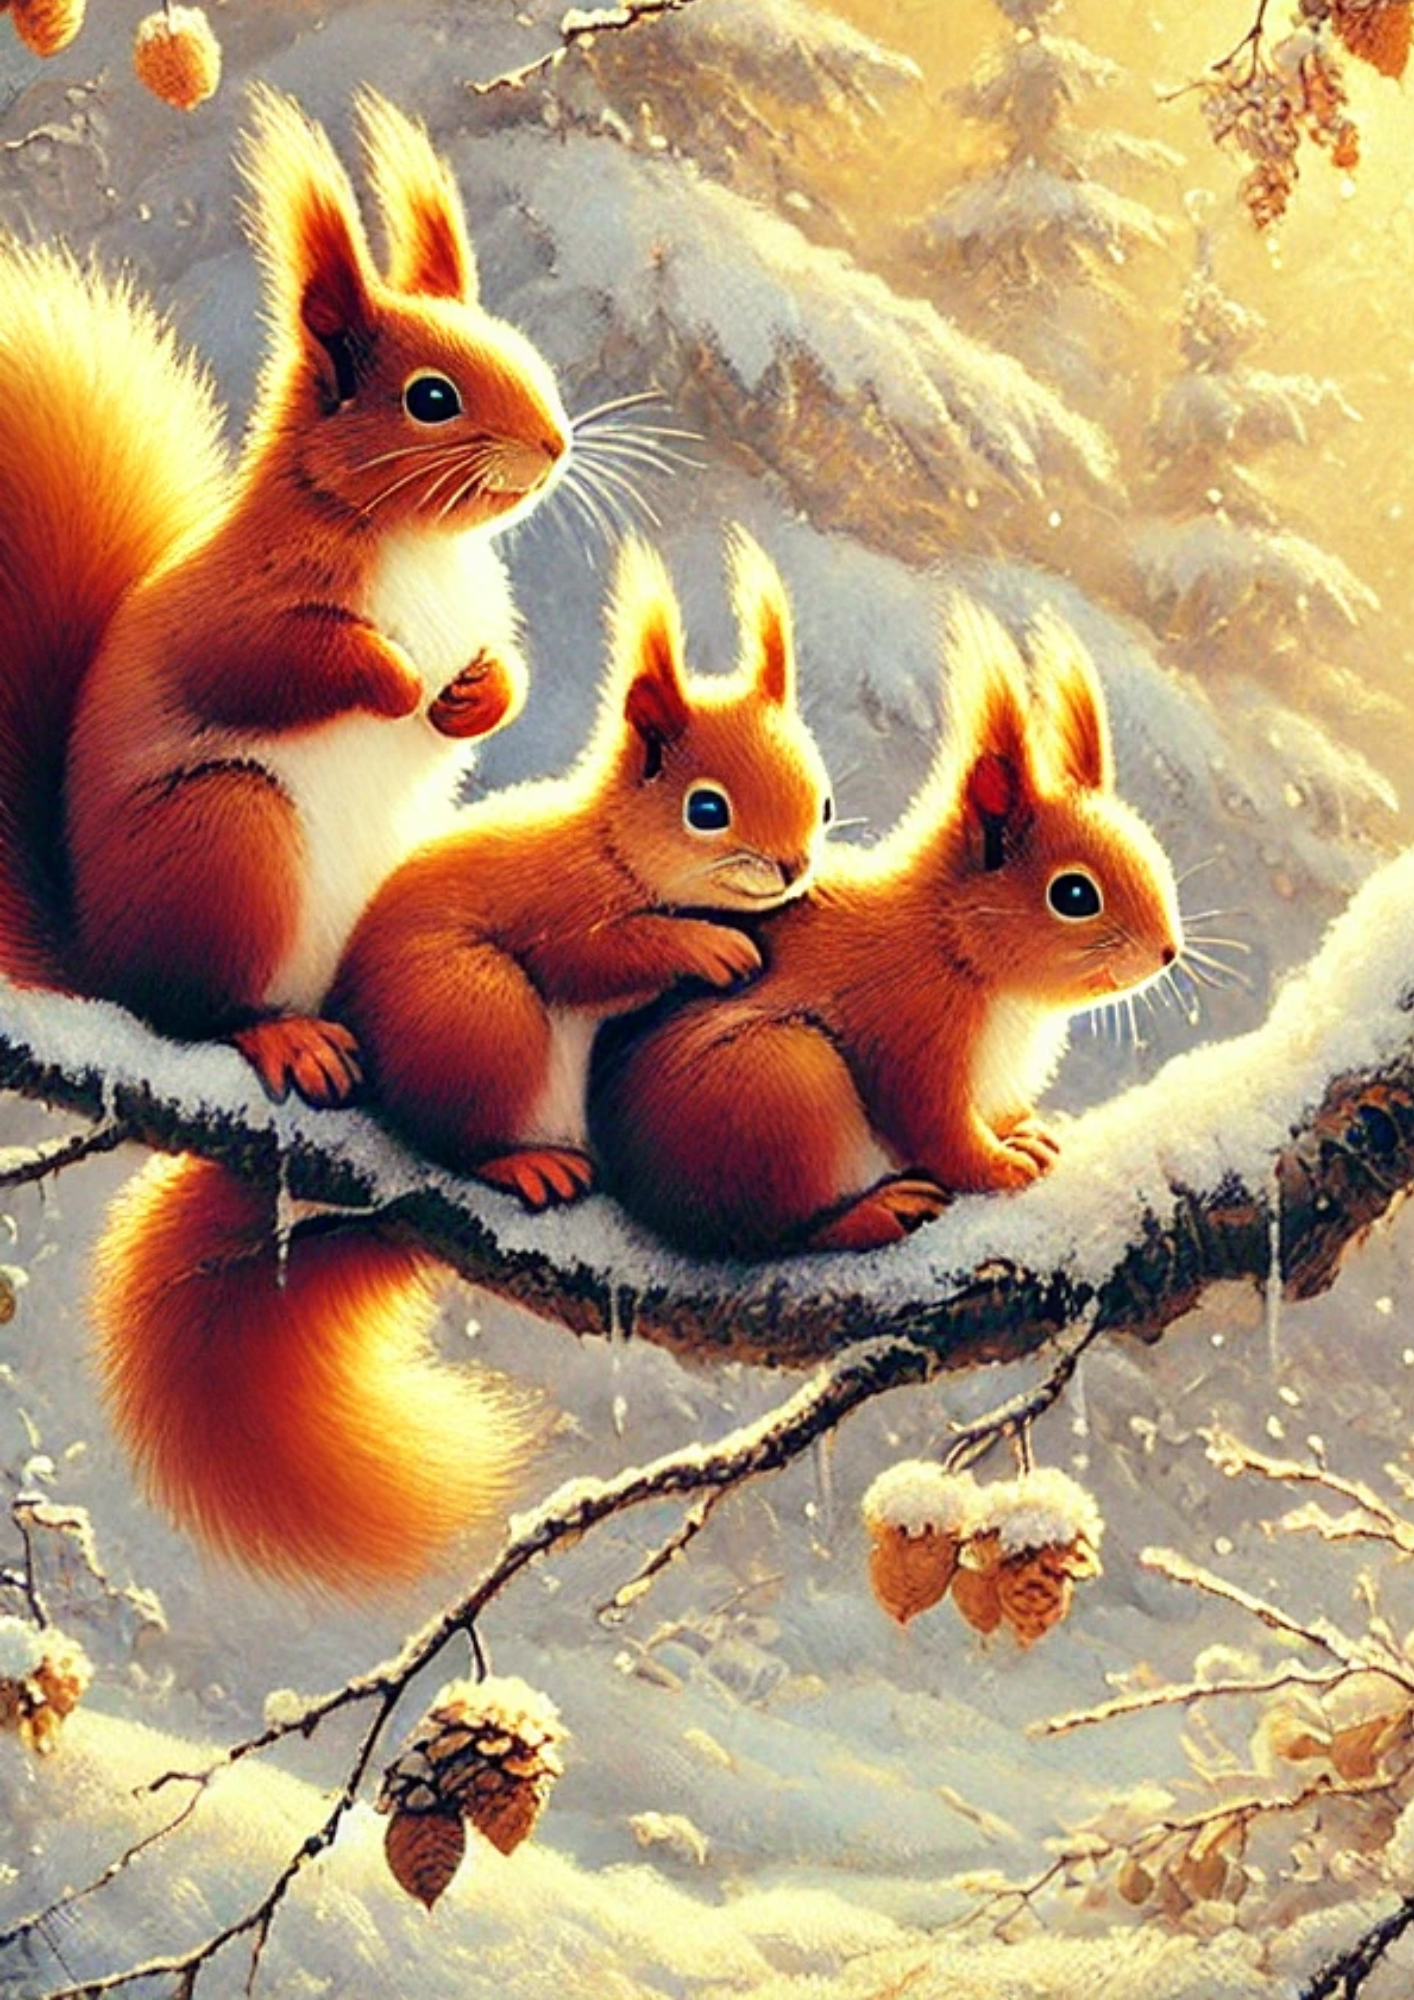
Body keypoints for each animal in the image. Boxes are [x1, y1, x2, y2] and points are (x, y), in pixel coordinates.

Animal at [0, 86, 569, 1106]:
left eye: (522, 351)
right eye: (432, 398)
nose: (554, 443)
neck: (414, 544)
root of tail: (99, 972)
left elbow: (503, 667)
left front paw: (476, 697)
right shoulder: (241, 599)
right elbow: (261, 663)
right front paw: (396, 684)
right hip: (230, 838)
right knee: (201, 1014)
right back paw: (283, 1037)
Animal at [90, 531, 832, 1588]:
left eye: (823, 796)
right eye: (706, 808)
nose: (793, 865)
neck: (616, 849)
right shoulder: (558, 905)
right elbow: (597, 955)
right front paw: (705, 947)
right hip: (476, 1015)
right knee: (451, 1136)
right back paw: (520, 1163)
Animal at [589, 599, 1184, 1259]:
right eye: (1074, 894)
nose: (1168, 951)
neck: (953, 946)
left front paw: (1026, 1132)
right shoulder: (913, 1034)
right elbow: (938, 1132)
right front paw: (1004, 1167)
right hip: (778, 1087)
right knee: (768, 1235)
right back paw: (877, 1211)